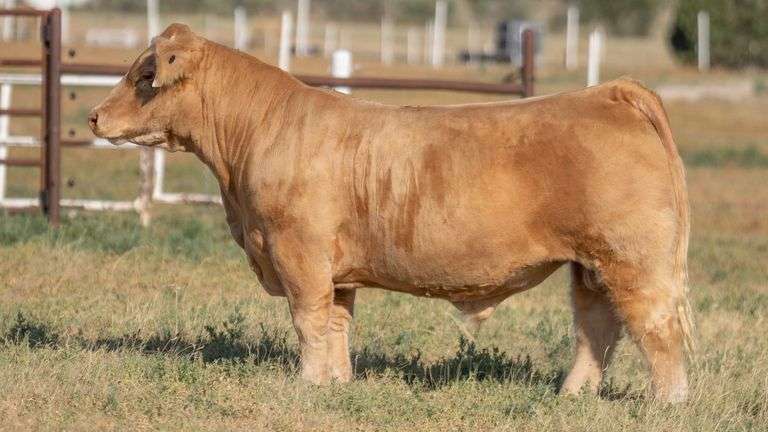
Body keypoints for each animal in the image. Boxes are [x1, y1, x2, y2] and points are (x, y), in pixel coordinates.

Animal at [89, 24, 695, 402]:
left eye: (145, 77)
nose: (94, 116)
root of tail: (608, 92)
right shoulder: (336, 271)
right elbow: (336, 323)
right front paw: (335, 385)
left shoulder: (298, 253)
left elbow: (308, 321)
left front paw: (307, 385)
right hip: (591, 267)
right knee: (597, 328)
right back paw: (571, 397)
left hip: (633, 261)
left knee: (655, 327)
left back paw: (666, 404)